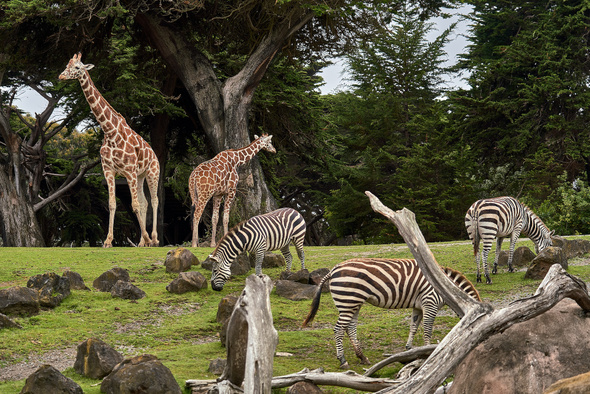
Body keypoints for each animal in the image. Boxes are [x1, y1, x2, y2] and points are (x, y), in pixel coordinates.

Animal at [59, 53, 161, 248]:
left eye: (77, 67)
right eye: (67, 64)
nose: (61, 76)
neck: (109, 131)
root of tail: (154, 154)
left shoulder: (128, 171)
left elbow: (134, 205)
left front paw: (145, 238)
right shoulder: (109, 170)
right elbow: (113, 203)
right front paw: (107, 241)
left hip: (153, 172)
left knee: (154, 200)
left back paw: (153, 239)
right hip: (140, 175)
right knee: (144, 202)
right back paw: (142, 242)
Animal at [302, 258, 484, 370]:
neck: (446, 288)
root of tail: (334, 269)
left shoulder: (418, 306)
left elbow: (414, 326)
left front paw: (410, 348)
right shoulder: (430, 303)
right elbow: (427, 329)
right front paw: (429, 352)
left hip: (353, 303)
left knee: (350, 328)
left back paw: (362, 357)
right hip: (348, 300)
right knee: (339, 329)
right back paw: (343, 360)